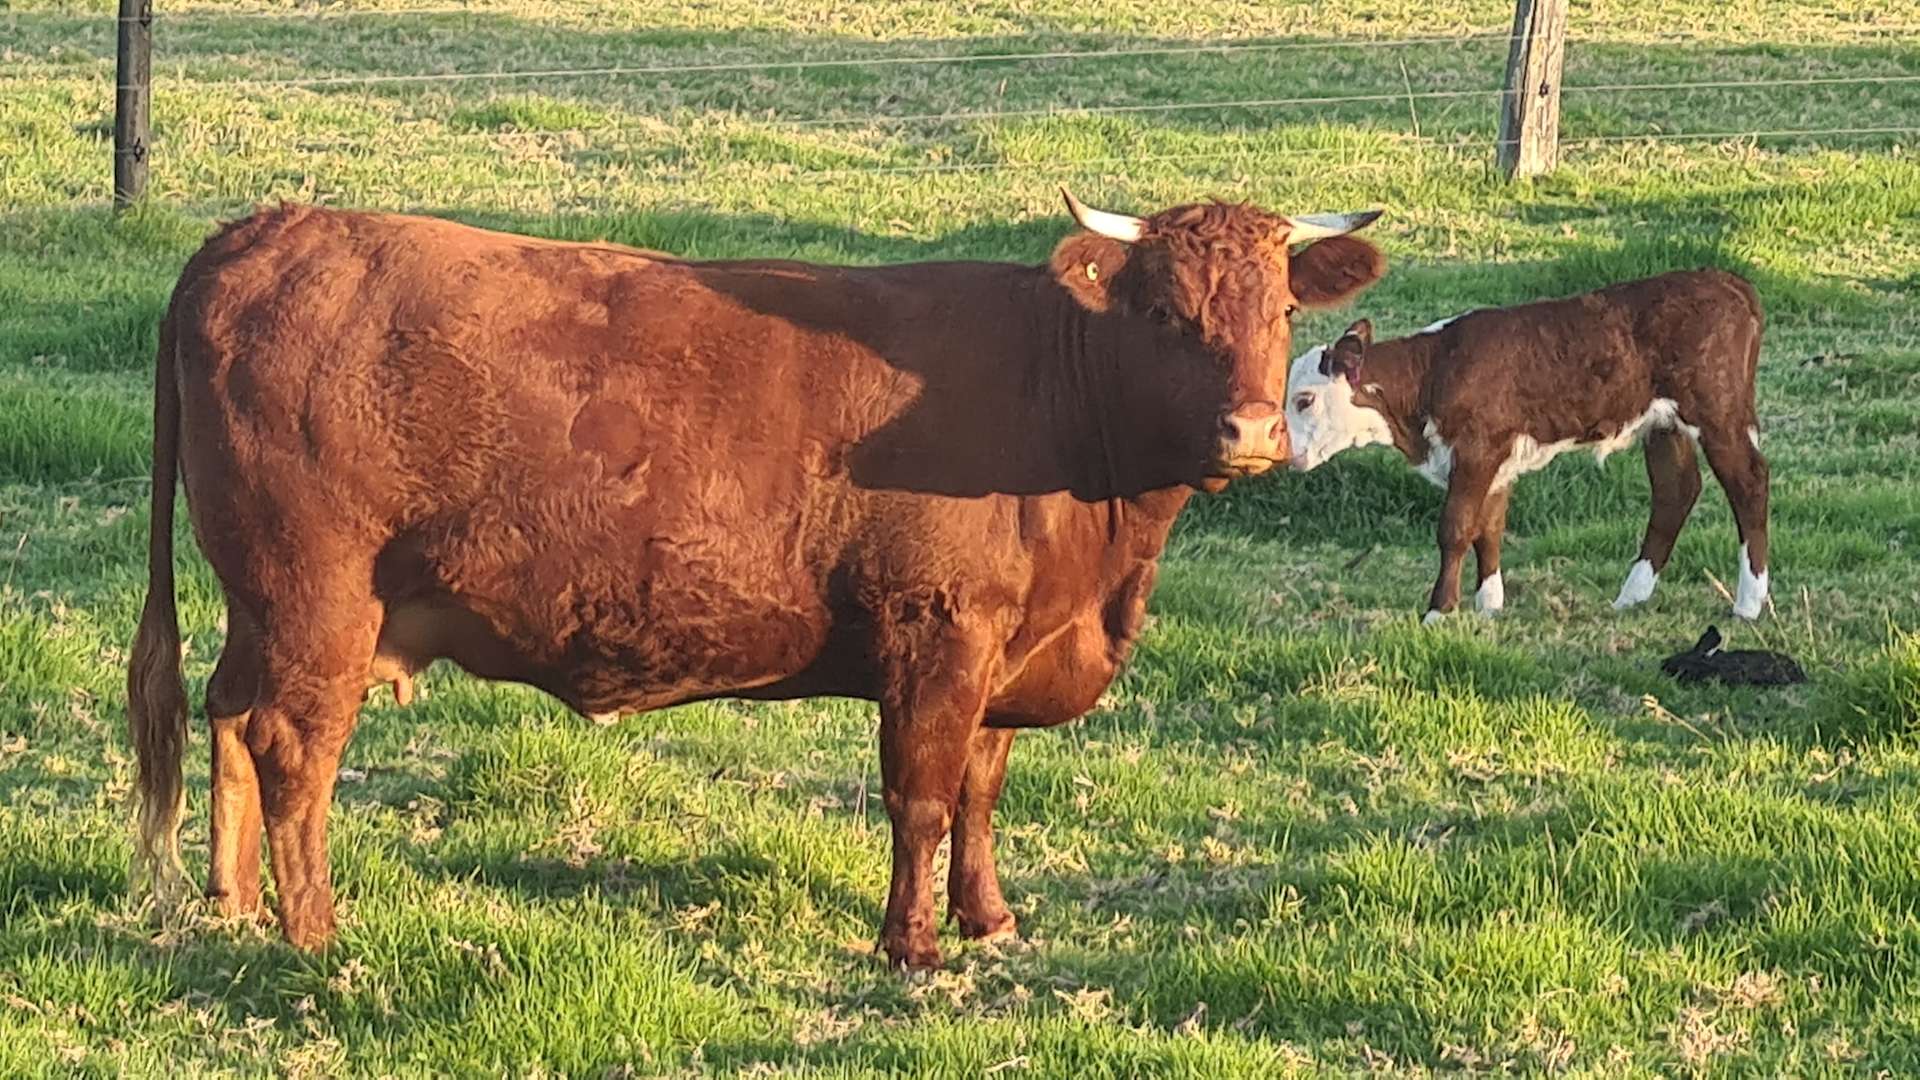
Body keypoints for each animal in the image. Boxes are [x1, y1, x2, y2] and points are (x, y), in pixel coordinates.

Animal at [127, 189, 1382, 960]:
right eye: (1166, 311)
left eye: (1280, 308)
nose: (1253, 432)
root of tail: (269, 227)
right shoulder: (937, 638)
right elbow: (921, 799)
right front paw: (911, 948)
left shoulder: (1004, 654)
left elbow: (981, 794)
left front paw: (989, 923)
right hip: (318, 598)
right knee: (293, 746)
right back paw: (314, 932)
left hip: (261, 603)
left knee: (228, 717)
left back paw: (233, 903)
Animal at [1282, 267, 1774, 618]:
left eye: (1305, 400)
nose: (1285, 454)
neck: (1434, 371)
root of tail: (1726, 280)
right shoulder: (1496, 462)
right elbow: (1489, 526)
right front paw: (1489, 605)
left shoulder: (1477, 450)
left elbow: (1456, 527)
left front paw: (1439, 611)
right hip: (1663, 424)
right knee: (1676, 490)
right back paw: (1632, 595)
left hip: (1717, 412)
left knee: (1749, 482)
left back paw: (1748, 604)